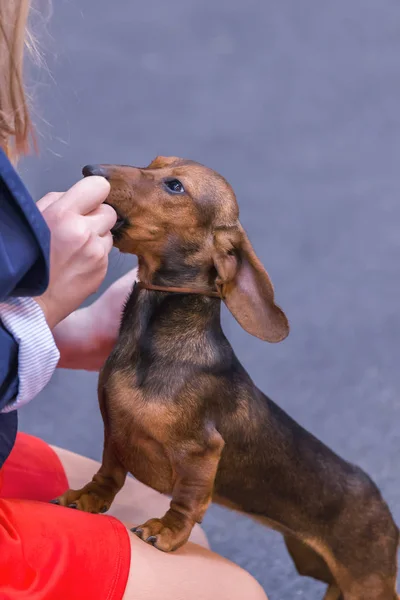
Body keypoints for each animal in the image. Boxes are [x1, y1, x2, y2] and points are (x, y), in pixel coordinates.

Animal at [54, 157, 398, 596]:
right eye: (153, 163)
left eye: (174, 186)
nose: (89, 169)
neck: (155, 339)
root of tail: (379, 501)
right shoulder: (115, 431)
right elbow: (108, 473)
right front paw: (87, 499)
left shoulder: (203, 451)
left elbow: (188, 500)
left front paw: (167, 531)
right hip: (318, 567)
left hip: (367, 583)